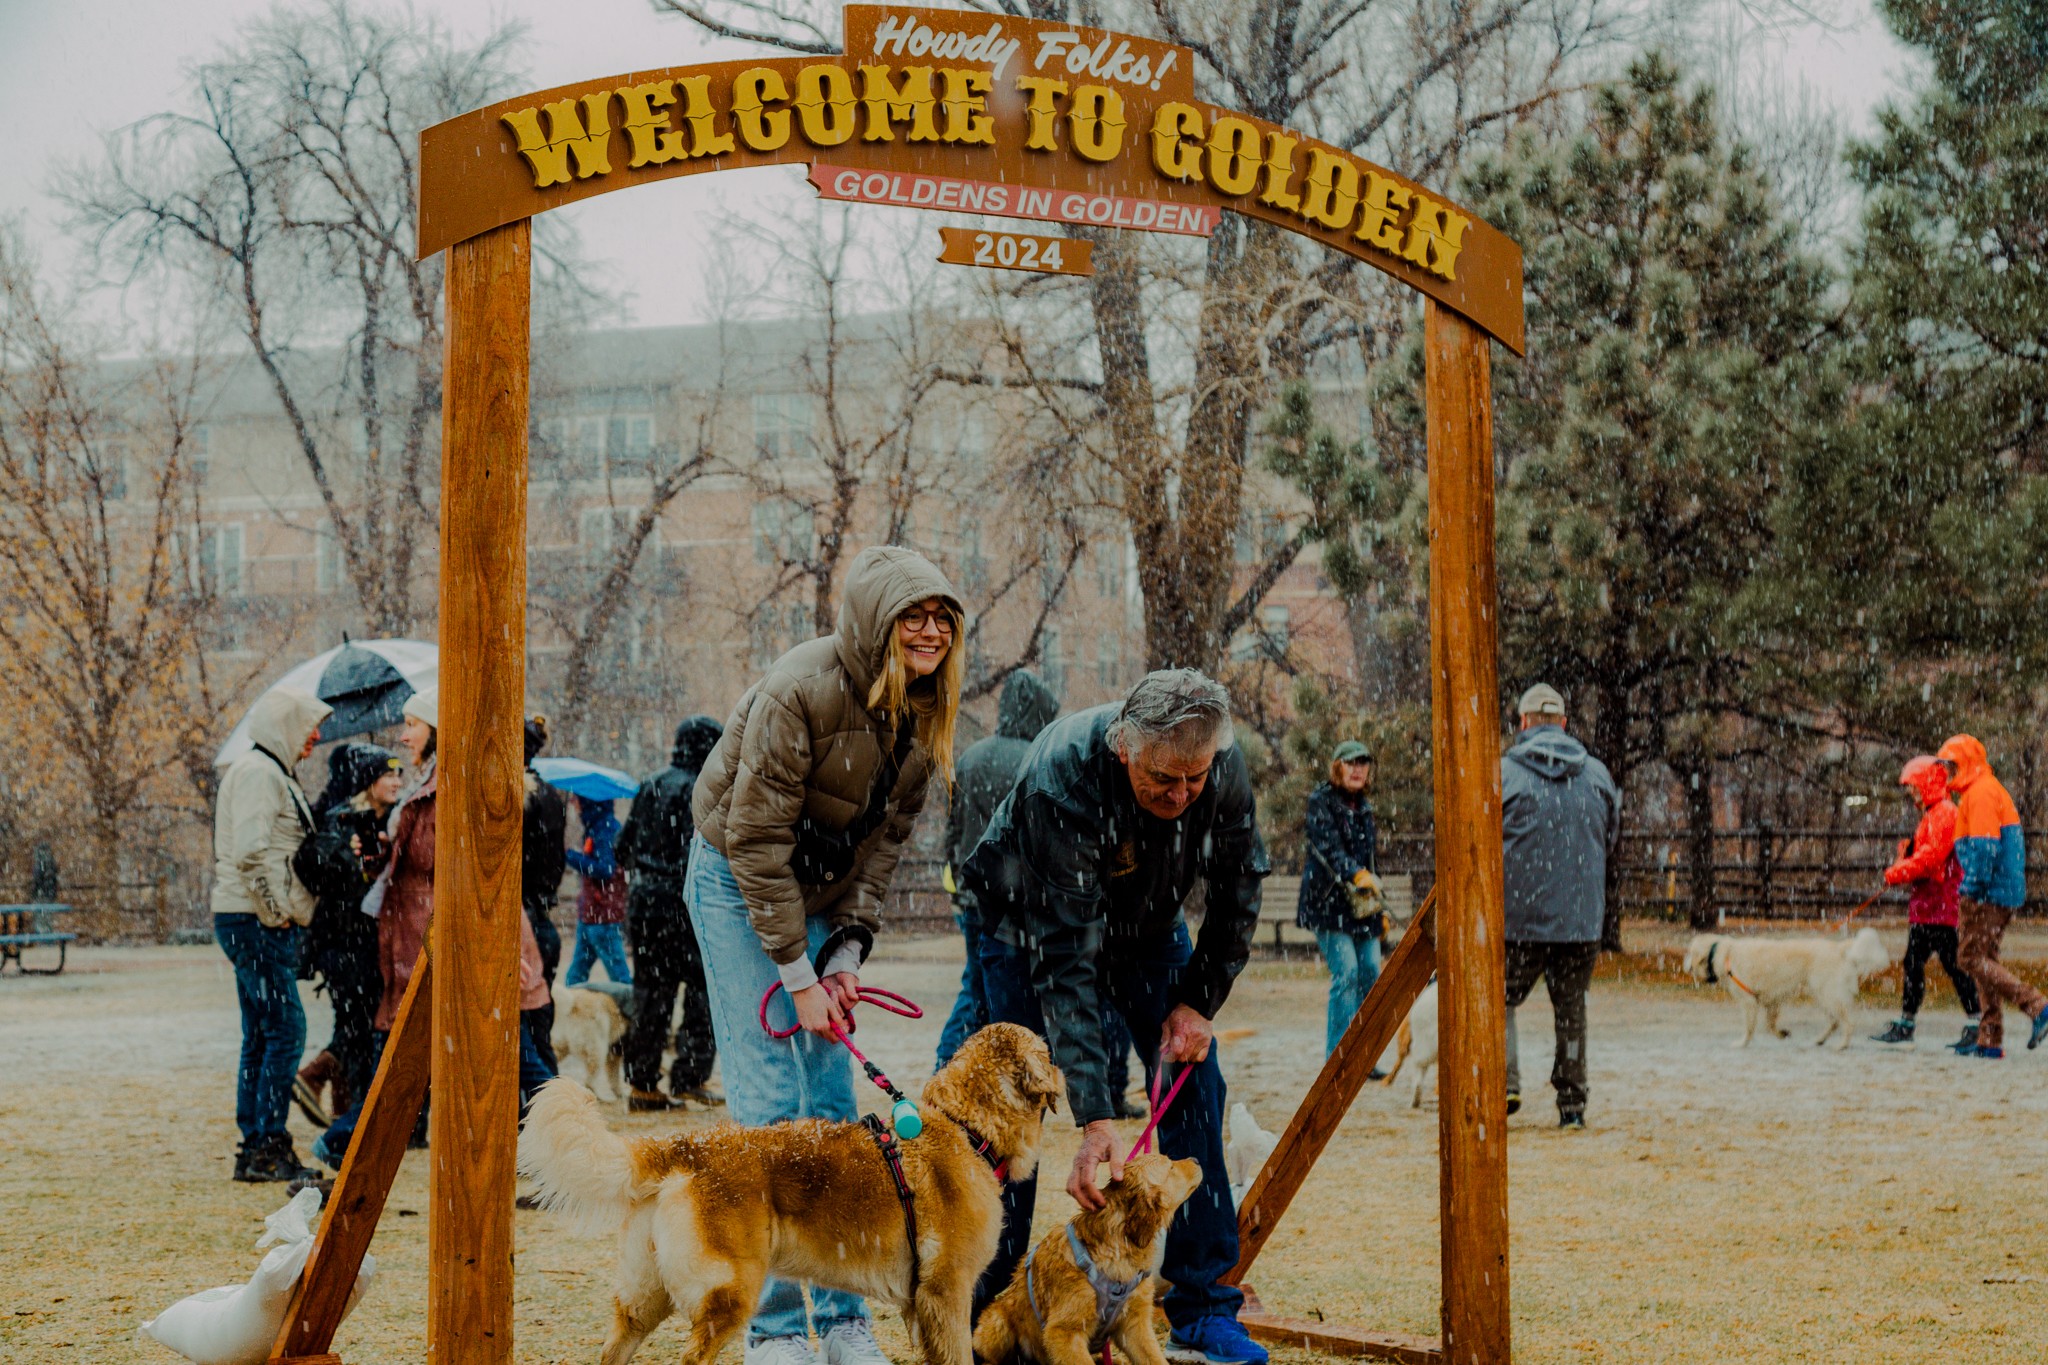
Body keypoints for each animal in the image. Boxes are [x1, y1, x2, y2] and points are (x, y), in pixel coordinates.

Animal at [520, 1023, 1064, 1365]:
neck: (966, 1127)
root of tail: (683, 1146)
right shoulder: (946, 1293)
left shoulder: (921, 1308)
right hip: (728, 1293)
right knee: (693, 1354)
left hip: (644, 1295)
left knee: (616, 1344)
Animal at [974, 1162, 1196, 1365]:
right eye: (1170, 1167)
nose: (1195, 1160)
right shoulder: (1063, 1332)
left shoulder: (1134, 1325)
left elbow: (1154, 1358)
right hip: (996, 1324)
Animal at [1679, 933, 1884, 1055]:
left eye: (1689, 952)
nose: (1683, 964)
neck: (1722, 954)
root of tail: (1839, 948)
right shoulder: (1772, 1001)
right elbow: (1770, 1025)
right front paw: (1782, 1033)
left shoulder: (1748, 1002)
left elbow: (1750, 1027)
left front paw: (1742, 1043)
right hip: (1821, 995)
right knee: (1834, 1022)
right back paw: (1819, 1040)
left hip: (1828, 995)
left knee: (1847, 1022)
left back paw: (1842, 1045)